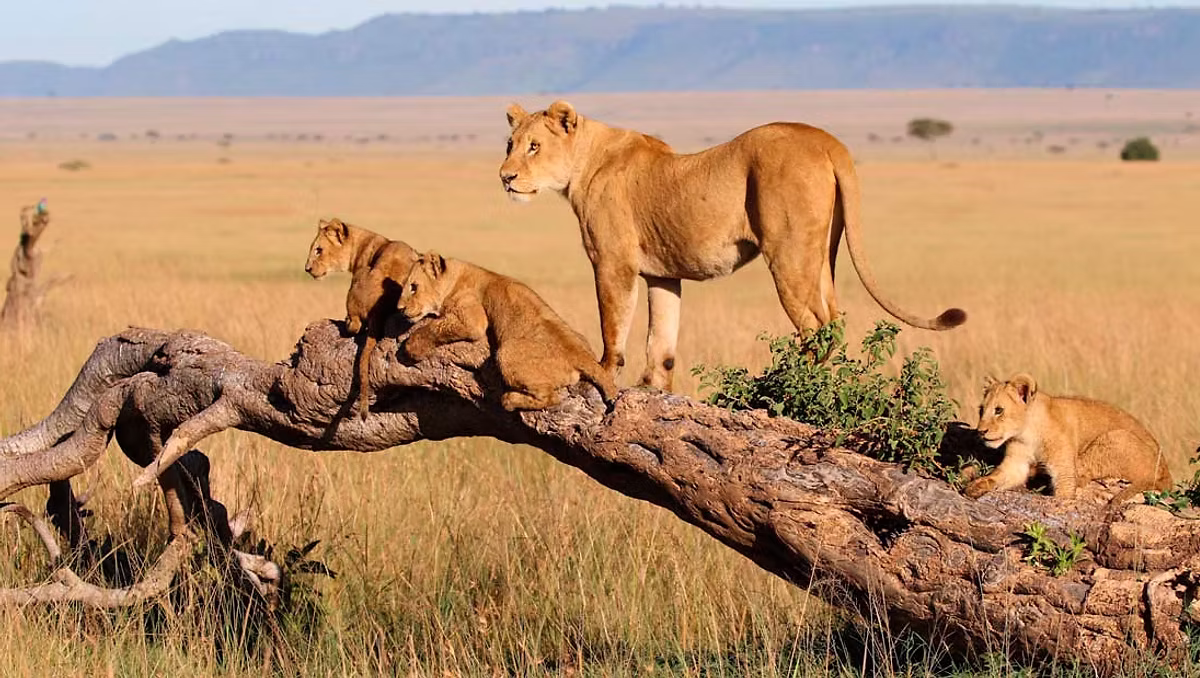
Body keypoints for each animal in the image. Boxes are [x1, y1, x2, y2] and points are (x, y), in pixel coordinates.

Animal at [305, 218, 418, 418]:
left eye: (318, 250)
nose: (307, 269)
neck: (362, 244)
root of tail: (377, 311)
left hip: (360, 276)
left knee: (355, 326)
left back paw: (342, 322)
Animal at [395, 251, 618, 411]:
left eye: (413, 287)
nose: (399, 308)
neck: (455, 277)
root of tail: (581, 355)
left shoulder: (473, 319)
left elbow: (434, 327)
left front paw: (412, 347)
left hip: (506, 353)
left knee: (551, 397)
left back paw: (509, 400)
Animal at [500, 100, 966, 390]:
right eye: (510, 144)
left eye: (534, 146)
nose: (505, 177)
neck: (583, 164)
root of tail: (826, 140)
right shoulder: (662, 275)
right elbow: (662, 341)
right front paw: (654, 389)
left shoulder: (613, 262)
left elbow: (612, 329)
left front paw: (605, 374)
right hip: (822, 253)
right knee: (834, 318)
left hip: (788, 253)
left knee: (815, 326)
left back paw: (792, 386)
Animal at [966, 373, 1173, 503]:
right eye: (981, 410)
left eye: (999, 410)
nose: (980, 431)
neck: (1028, 433)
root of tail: (1167, 476)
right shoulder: (1016, 463)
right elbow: (998, 475)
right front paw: (975, 486)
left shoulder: (1064, 471)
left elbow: (1064, 494)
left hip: (1115, 438)